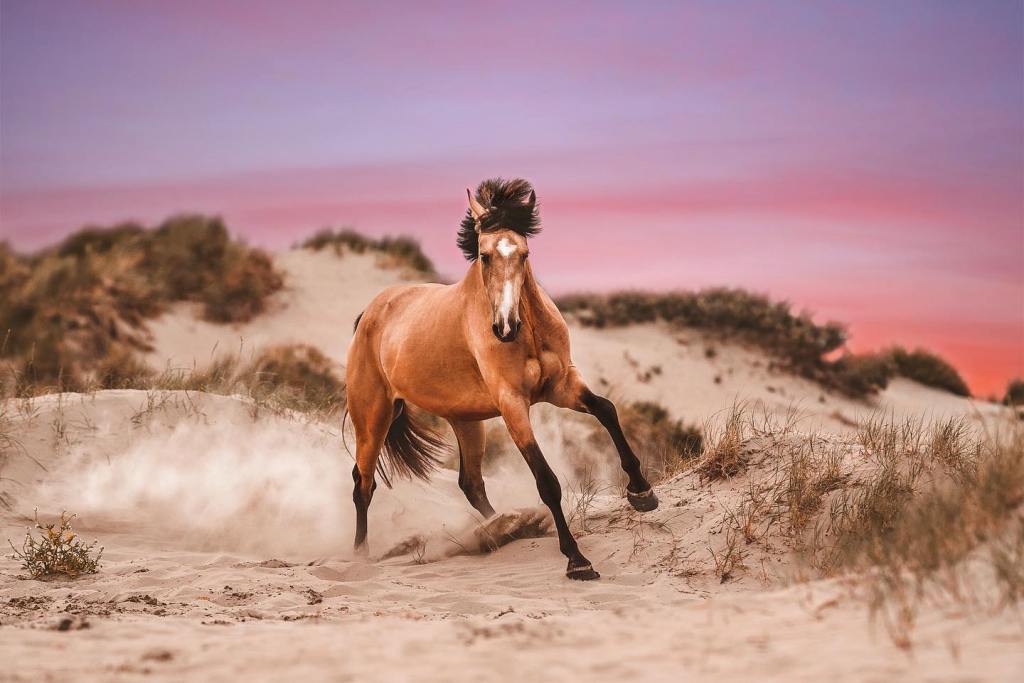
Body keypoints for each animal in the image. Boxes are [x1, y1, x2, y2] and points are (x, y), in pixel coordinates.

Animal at [348, 179, 659, 581]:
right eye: (484, 256)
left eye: (524, 254)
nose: (506, 327)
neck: (530, 335)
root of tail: (368, 314)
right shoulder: (513, 404)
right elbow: (546, 481)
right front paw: (577, 560)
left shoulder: (562, 386)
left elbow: (606, 410)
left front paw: (642, 494)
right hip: (373, 417)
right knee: (363, 484)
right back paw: (361, 557)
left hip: (465, 421)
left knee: (470, 483)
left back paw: (505, 527)